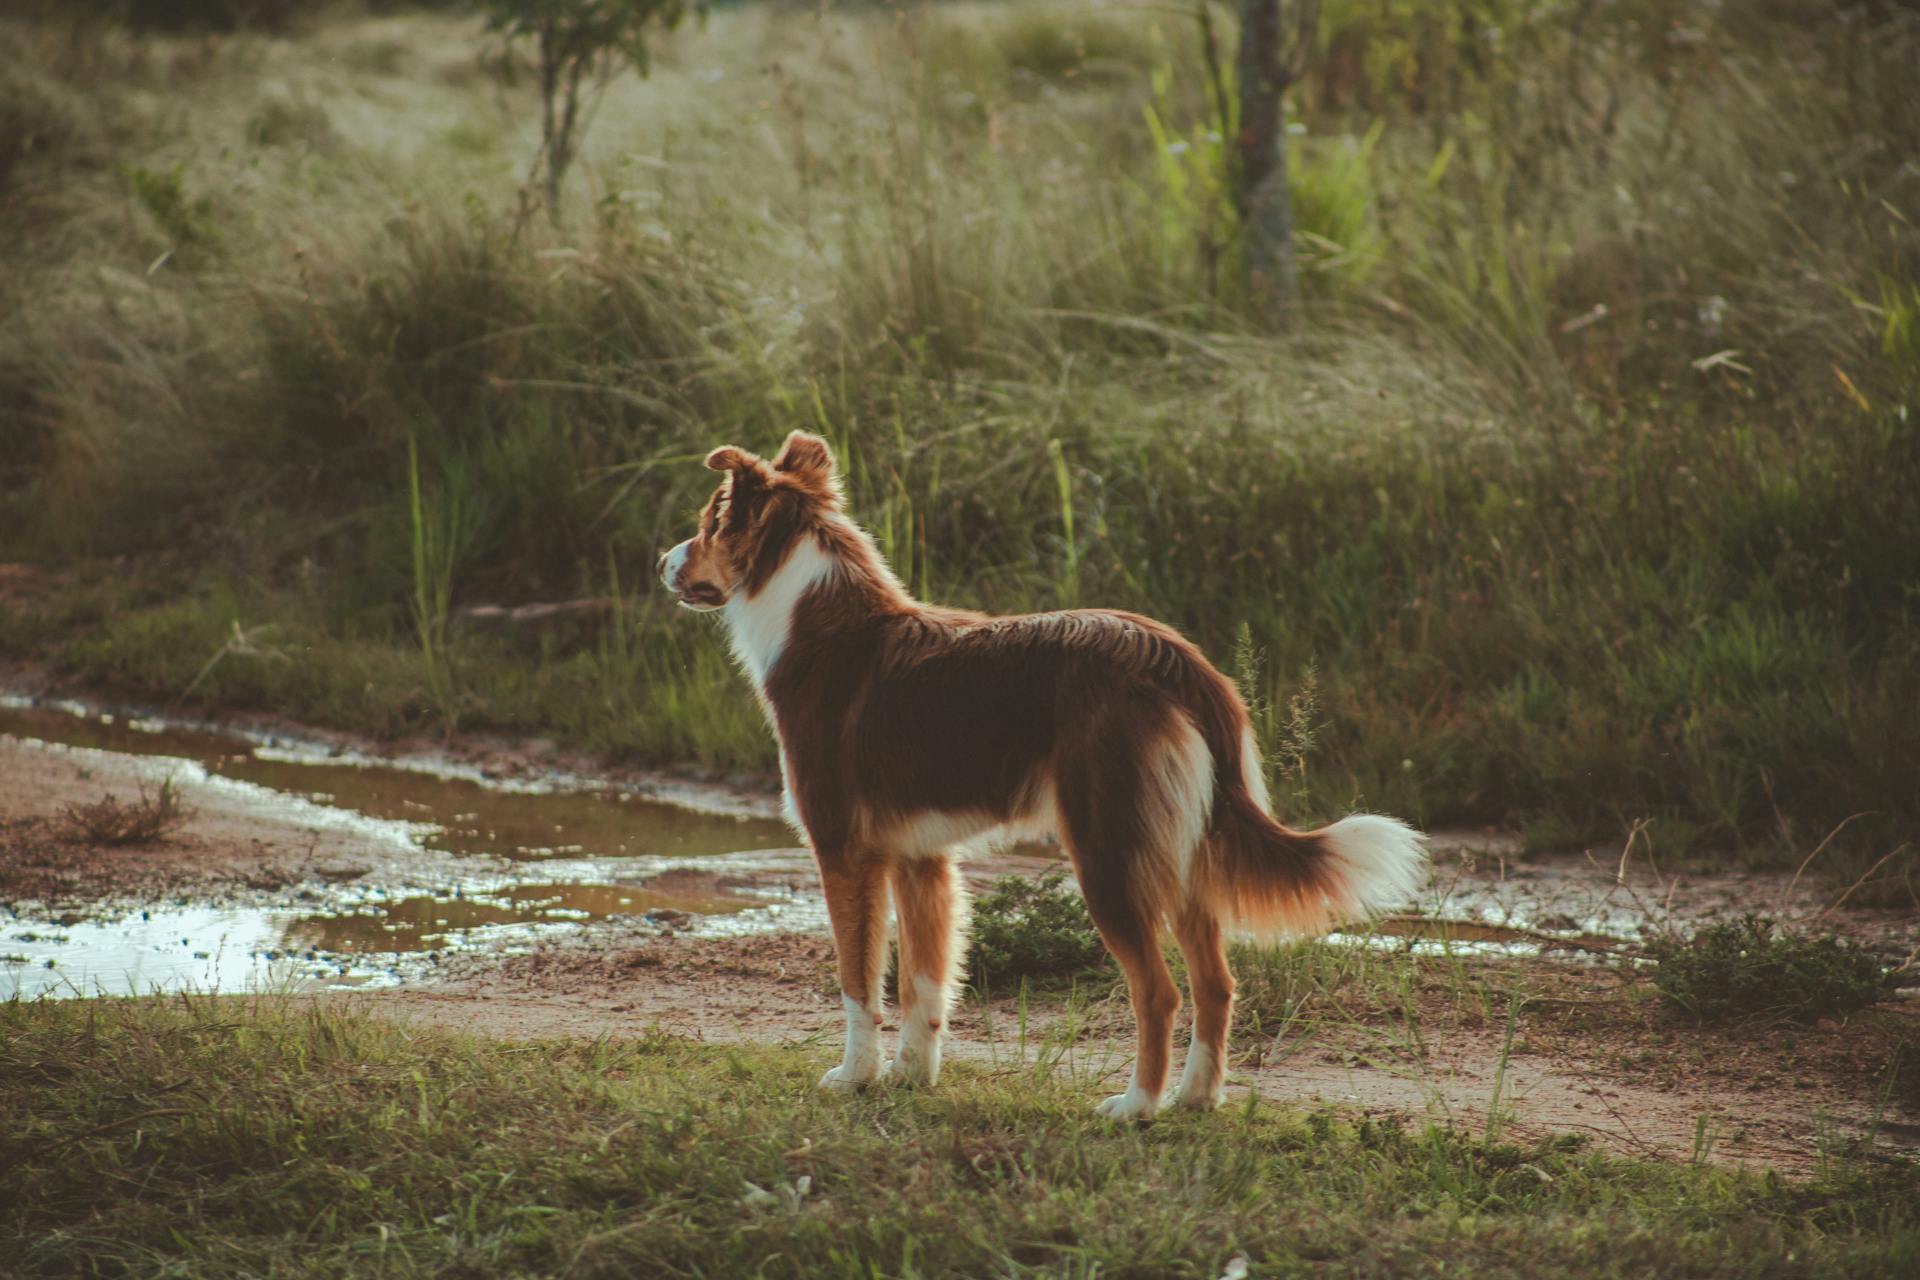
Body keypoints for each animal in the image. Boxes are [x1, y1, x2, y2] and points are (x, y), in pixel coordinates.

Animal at [660, 433, 1428, 1120]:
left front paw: (856, 1078)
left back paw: (1137, 1107)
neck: (812, 617)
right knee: (1216, 984)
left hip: (1109, 854)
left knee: (1160, 992)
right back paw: (1194, 1099)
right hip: (1182, 851)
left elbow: (859, 981)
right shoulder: (921, 860)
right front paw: (912, 1077)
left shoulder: (846, 853)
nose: (661, 562)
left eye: (705, 524)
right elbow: (924, 985)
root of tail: (1174, 659)